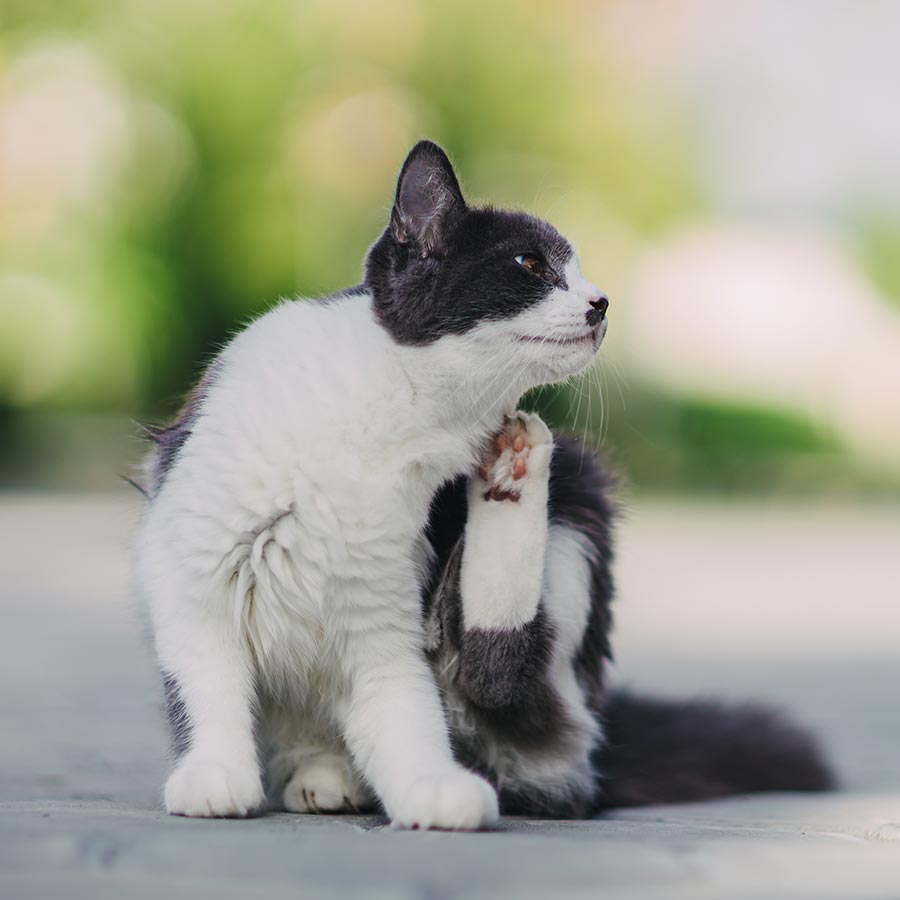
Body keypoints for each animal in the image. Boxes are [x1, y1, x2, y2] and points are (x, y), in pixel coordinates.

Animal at [135, 141, 836, 828]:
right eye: (530, 263)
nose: (602, 302)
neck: (397, 416)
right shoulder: (193, 574)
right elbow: (207, 685)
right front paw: (213, 773)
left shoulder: (382, 616)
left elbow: (405, 709)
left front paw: (432, 786)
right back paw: (327, 775)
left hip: (580, 486)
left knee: (502, 680)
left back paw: (515, 473)